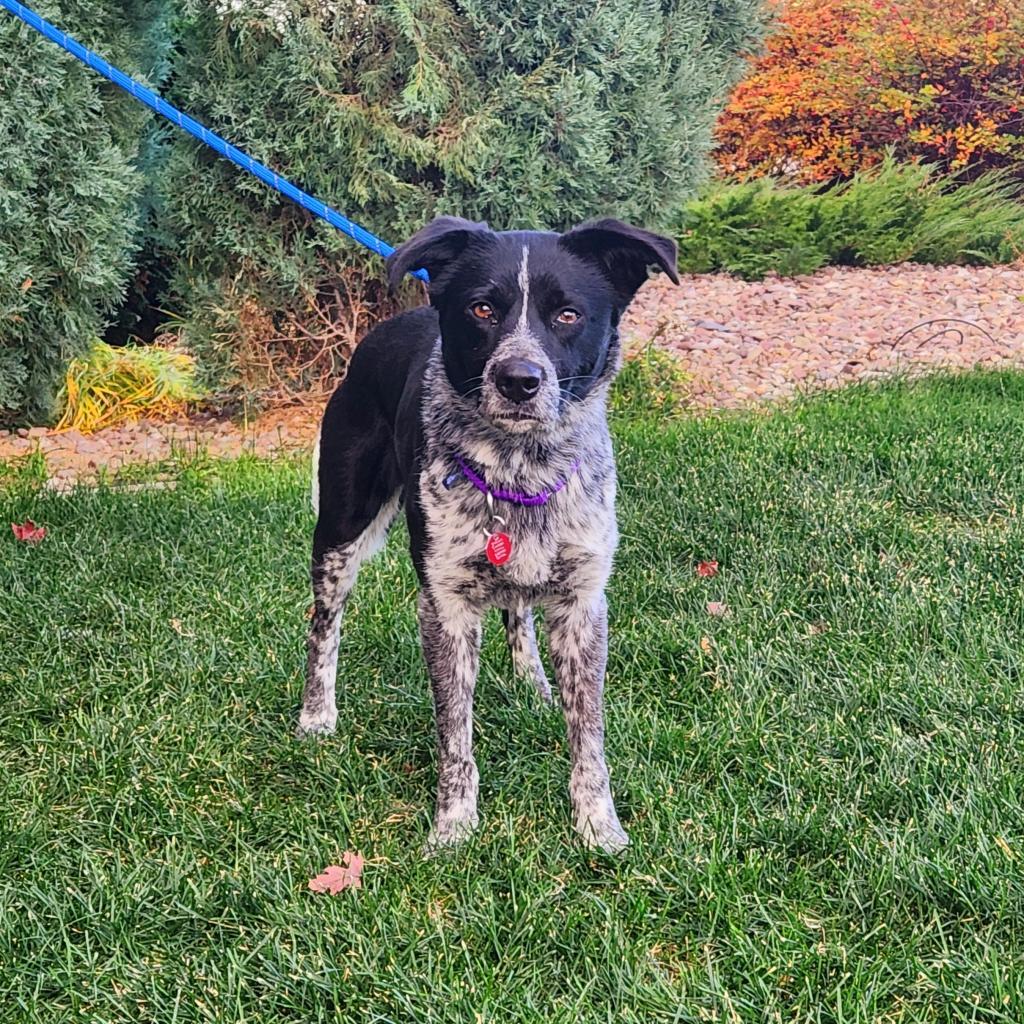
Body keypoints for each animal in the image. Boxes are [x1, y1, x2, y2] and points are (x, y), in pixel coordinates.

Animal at [299, 211, 679, 851]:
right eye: (481, 309)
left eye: (568, 314)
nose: (518, 379)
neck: (521, 466)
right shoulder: (444, 604)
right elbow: (455, 731)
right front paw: (454, 825)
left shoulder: (583, 602)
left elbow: (589, 734)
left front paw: (598, 826)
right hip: (342, 527)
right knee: (325, 625)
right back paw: (315, 716)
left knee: (518, 609)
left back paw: (533, 685)